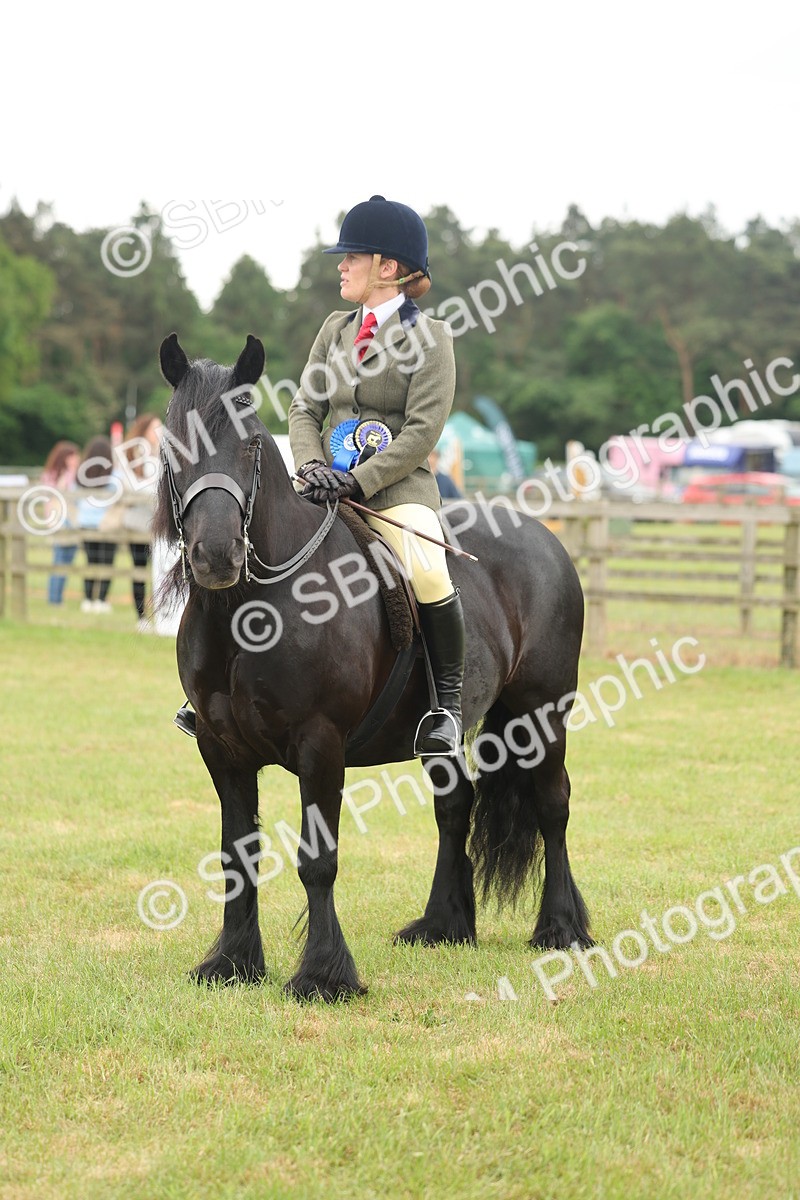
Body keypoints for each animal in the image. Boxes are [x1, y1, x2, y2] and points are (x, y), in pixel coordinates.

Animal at [153, 333, 593, 1001]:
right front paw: (232, 963)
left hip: (541, 714)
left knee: (553, 805)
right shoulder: (221, 749)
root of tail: (544, 537)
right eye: (174, 442)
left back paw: (562, 928)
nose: (216, 556)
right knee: (455, 807)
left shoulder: (320, 745)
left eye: (251, 442)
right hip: (440, 733)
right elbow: (238, 854)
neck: (251, 611)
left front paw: (324, 975)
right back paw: (443, 925)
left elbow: (318, 860)